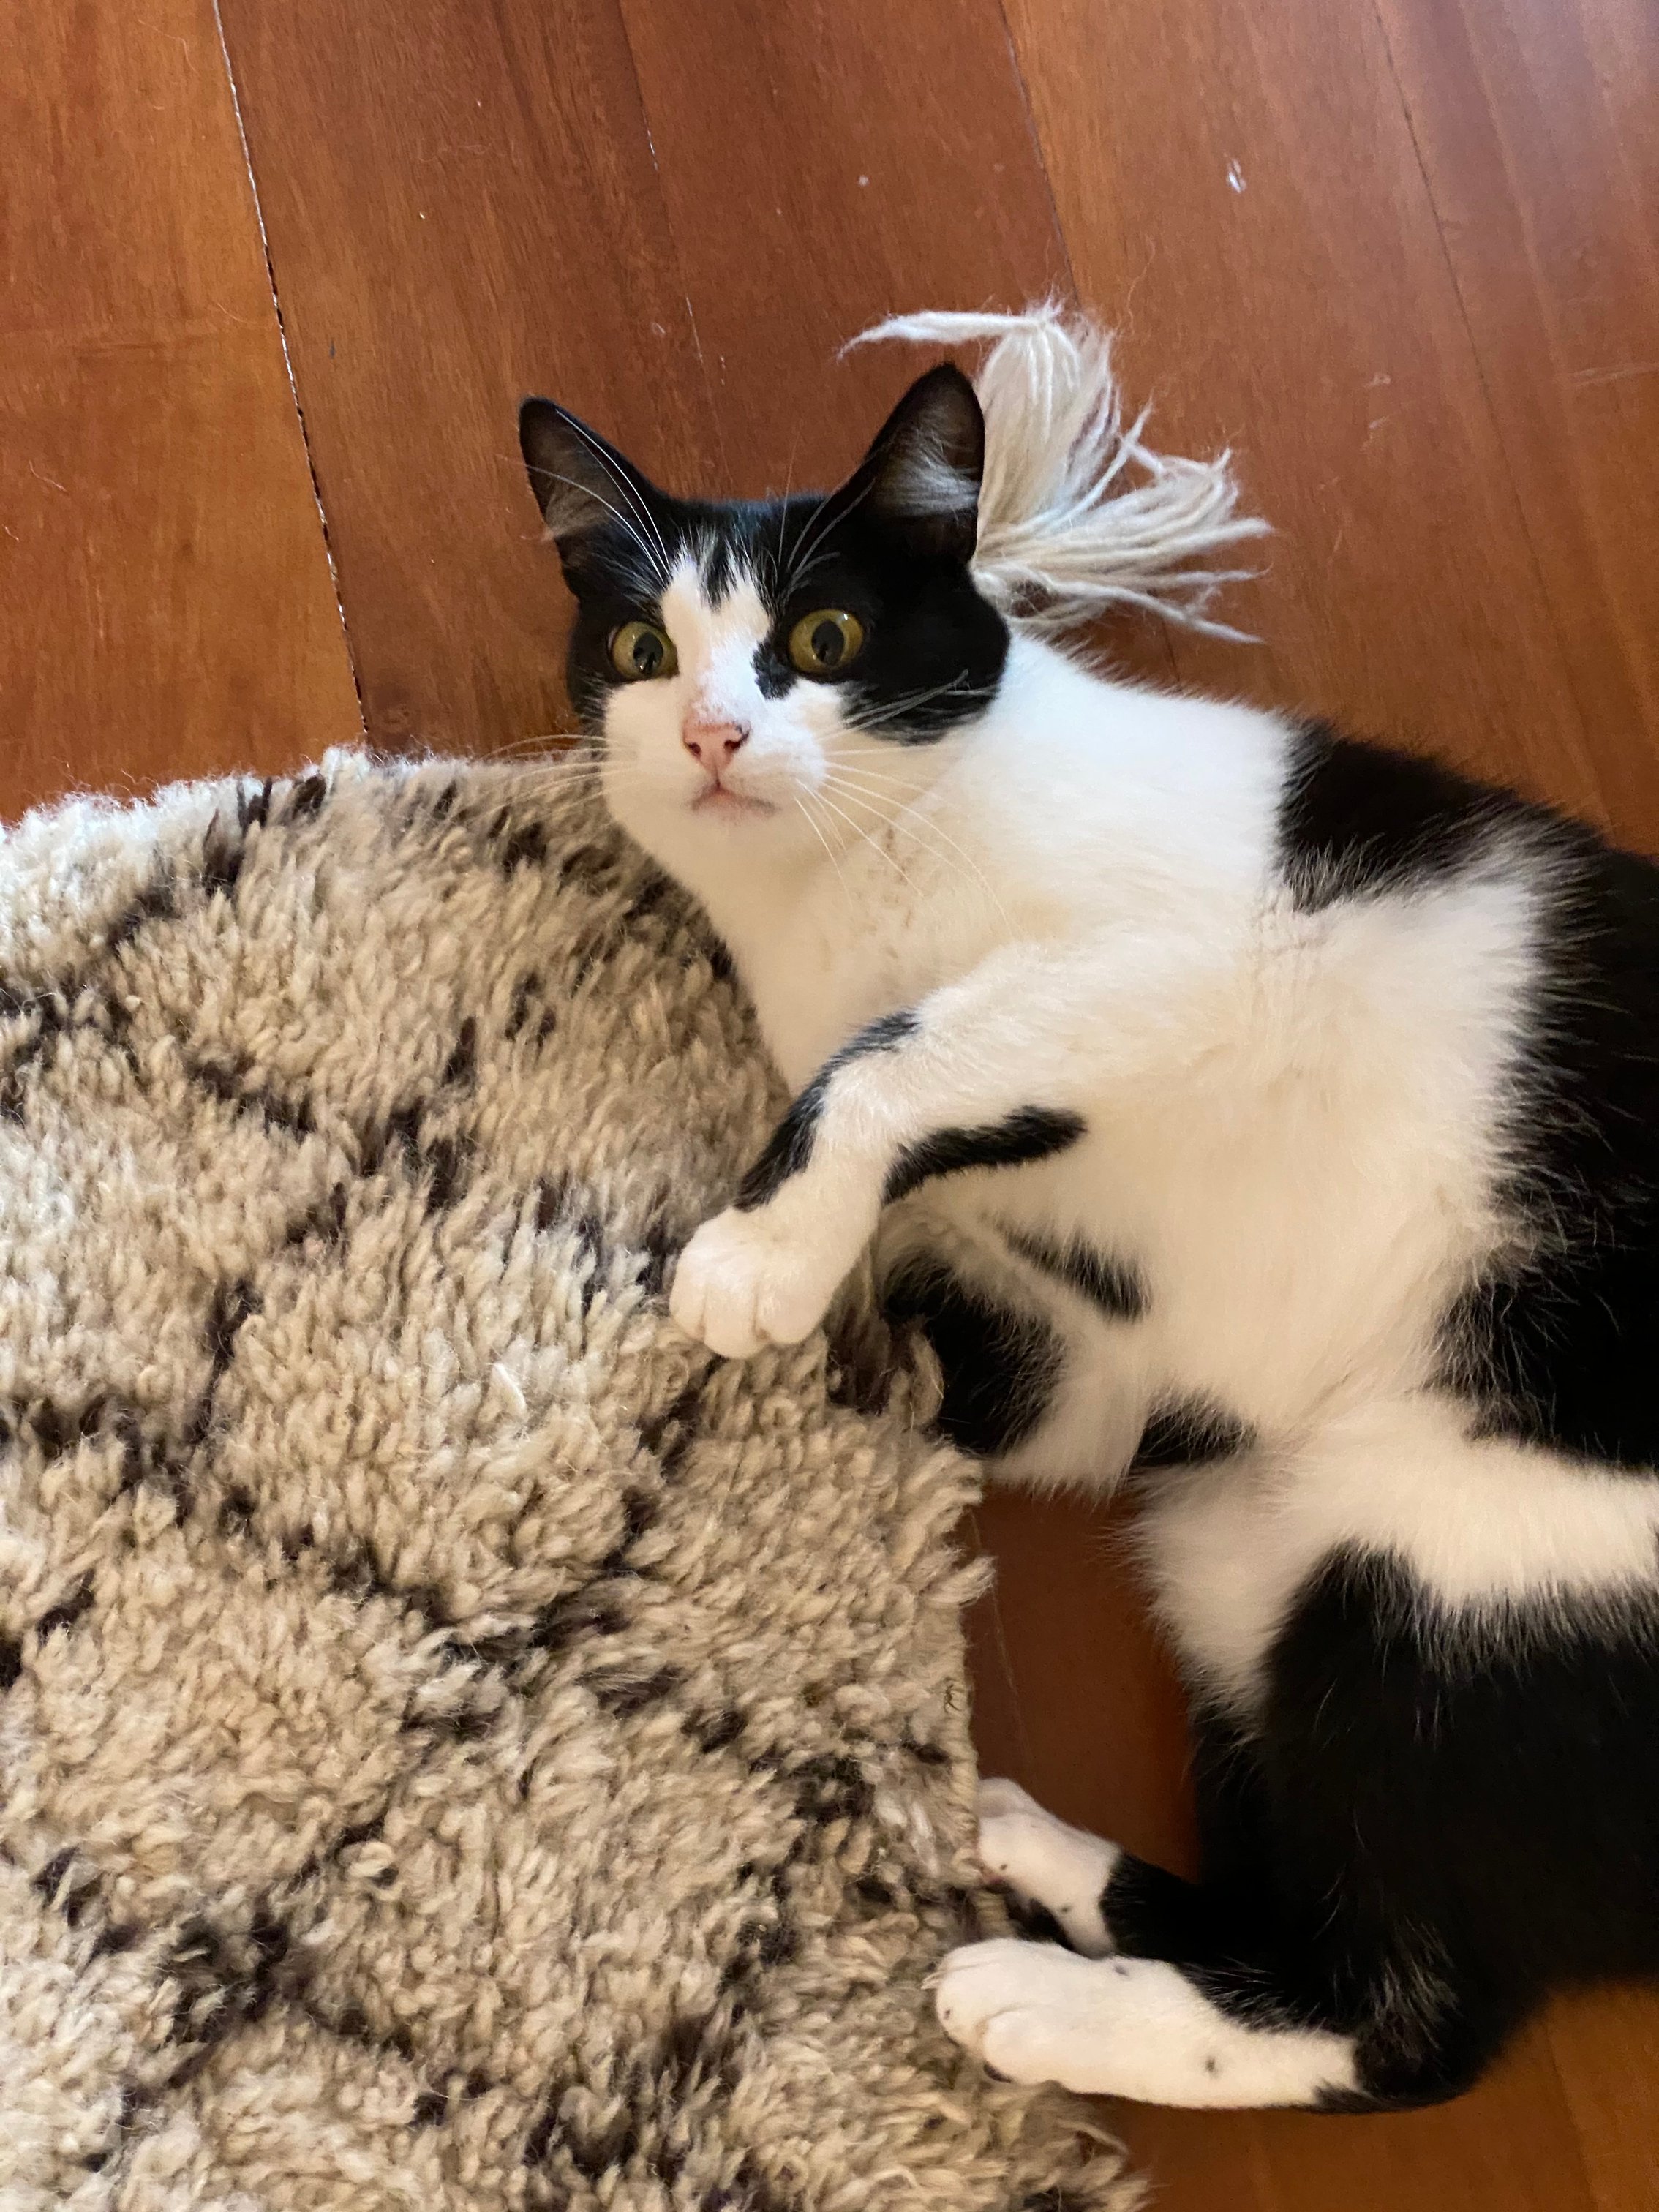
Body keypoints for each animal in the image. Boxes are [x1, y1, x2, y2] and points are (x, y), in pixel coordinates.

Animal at [518, 308, 1659, 2113]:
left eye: (822, 637)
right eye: (640, 647)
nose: (708, 734)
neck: (850, 887)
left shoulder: (1180, 959)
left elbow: (884, 1057)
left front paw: (760, 1253)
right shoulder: (1109, 1358)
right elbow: (985, 1336)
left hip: (1445, 1569)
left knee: (1409, 2023)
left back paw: (1034, 2000)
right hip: (1236, 1541)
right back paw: (1044, 1863)